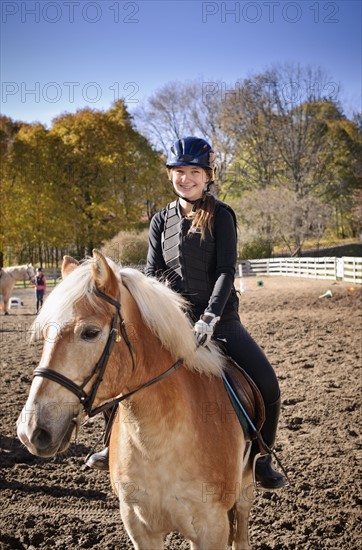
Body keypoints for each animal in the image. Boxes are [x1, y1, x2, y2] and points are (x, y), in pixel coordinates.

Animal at [17, 251, 255, 550]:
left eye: (90, 332)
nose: (30, 431)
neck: (158, 440)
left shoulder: (212, 529)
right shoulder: (138, 525)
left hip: (245, 483)